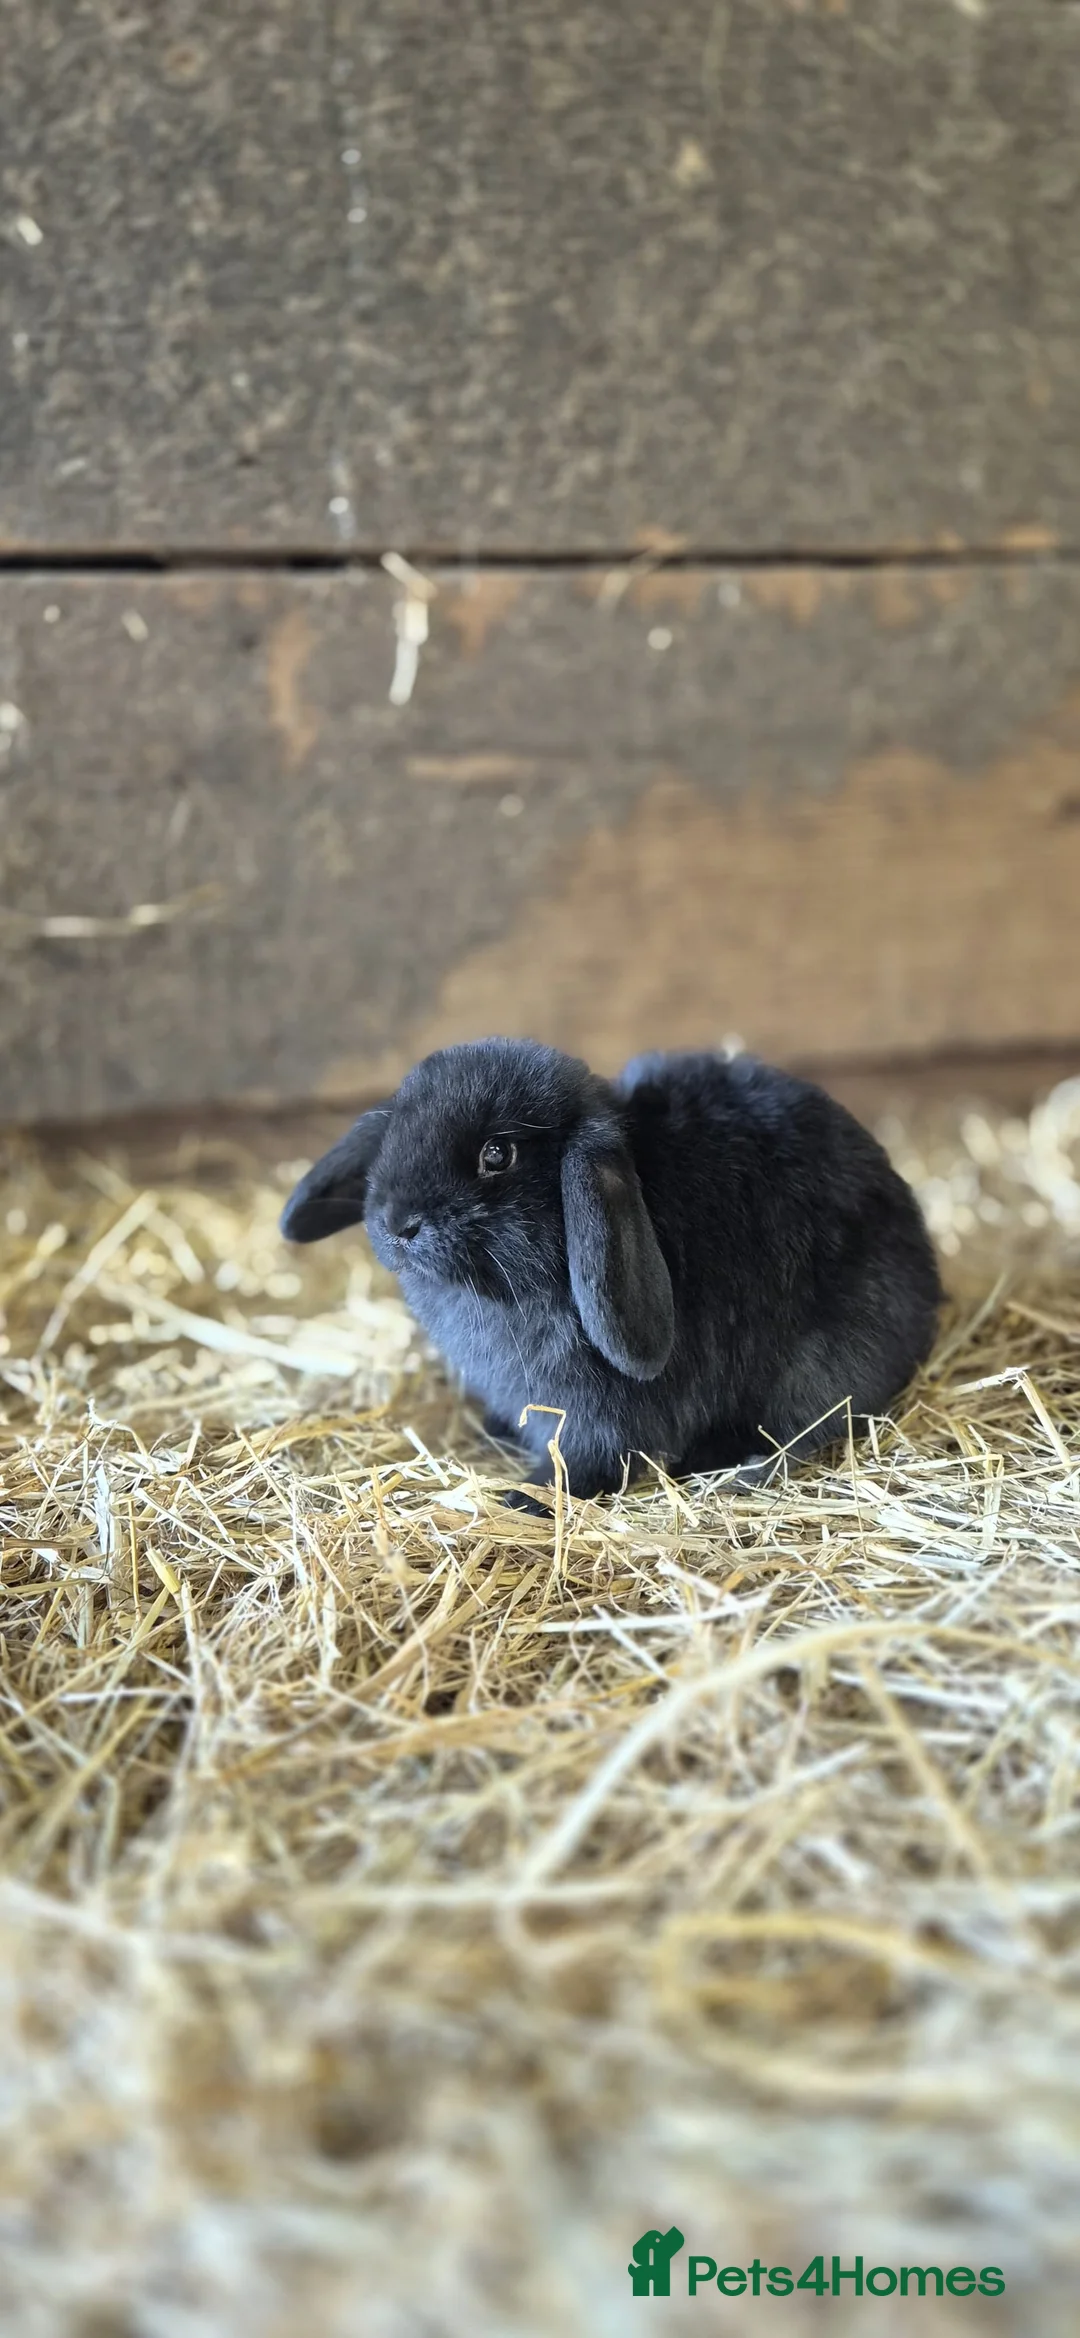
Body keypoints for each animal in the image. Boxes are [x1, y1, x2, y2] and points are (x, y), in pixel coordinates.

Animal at [279, 1038, 942, 1505]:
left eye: (497, 1154)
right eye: (396, 1132)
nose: (396, 1222)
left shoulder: (595, 1416)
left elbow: (588, 1461)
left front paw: (527, 1497)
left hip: (824, 1365)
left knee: (810, 1430)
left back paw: (742, 1473)